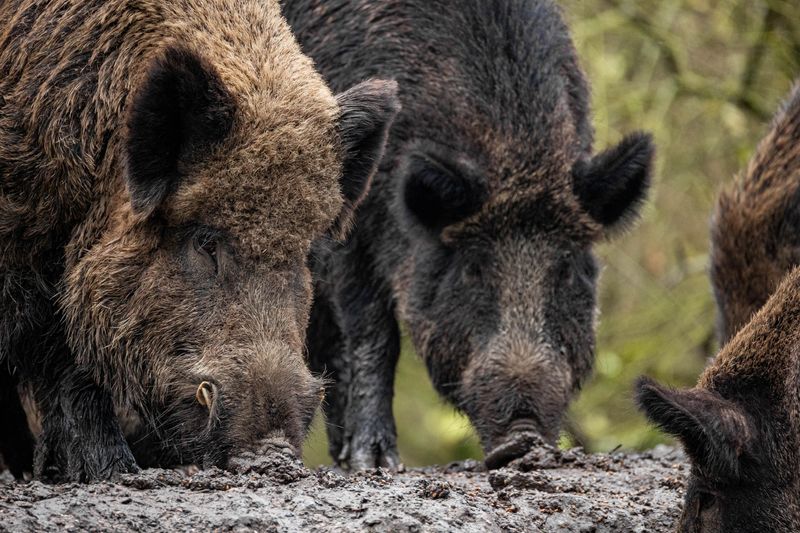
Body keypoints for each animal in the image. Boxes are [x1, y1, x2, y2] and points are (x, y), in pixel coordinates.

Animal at [283, 0, 655, 469]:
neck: (508, 153)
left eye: (568, 271)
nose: (523, 436)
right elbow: (371, 335)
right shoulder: (351, 233)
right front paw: (377, 464)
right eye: (472, 270)